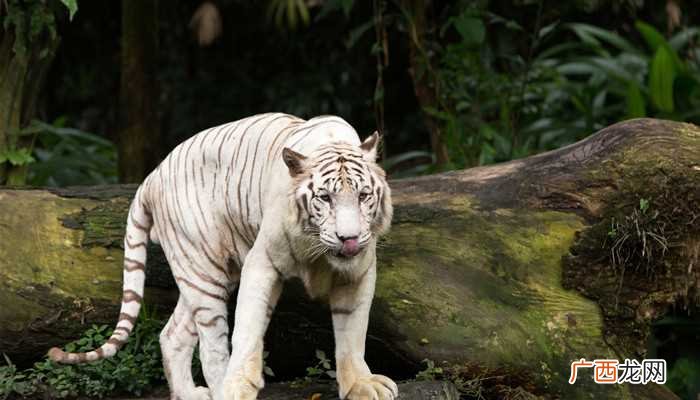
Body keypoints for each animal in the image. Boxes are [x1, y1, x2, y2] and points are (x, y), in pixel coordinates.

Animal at [48, 113, 396, 400]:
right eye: (324, 198)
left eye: (363, 196)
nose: (349, 238)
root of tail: (152, 176)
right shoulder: (262, 262)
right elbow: (248, 329)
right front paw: (239, 384)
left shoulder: (359, 272)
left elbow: (352, 332)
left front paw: (360, 385)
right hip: (204, 271)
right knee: (212, 348)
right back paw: (219, 390)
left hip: (204, 273)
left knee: (172, 334)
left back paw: (189, 394)